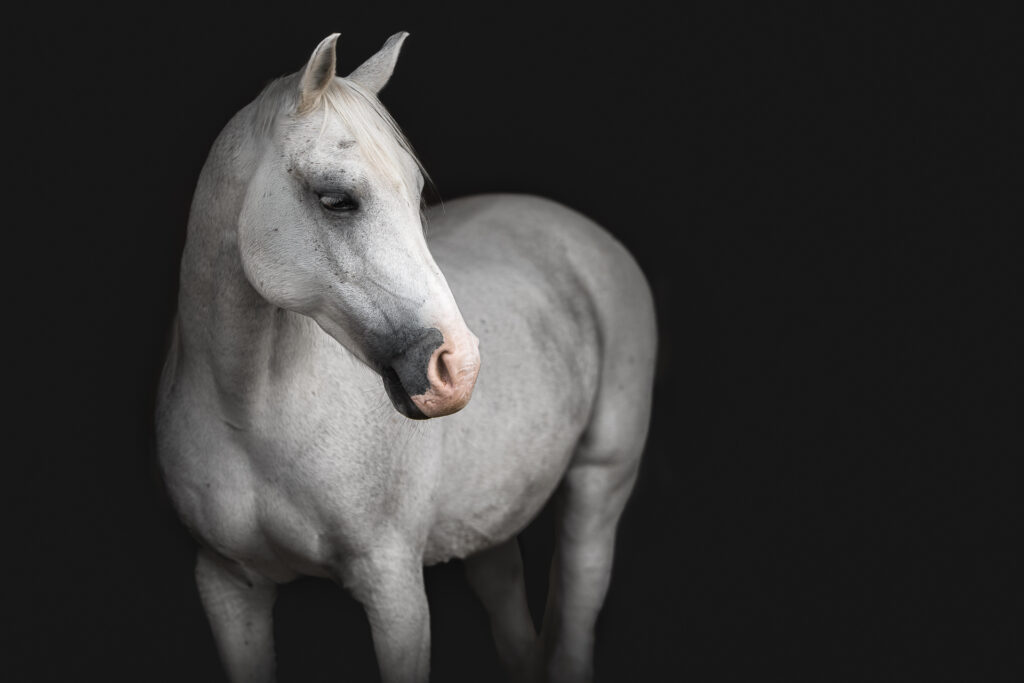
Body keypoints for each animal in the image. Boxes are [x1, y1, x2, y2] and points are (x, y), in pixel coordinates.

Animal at [155, 31, 656, 683]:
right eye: (336, 200)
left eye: (415, 194)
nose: (457, 369)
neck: (250, 418)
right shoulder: (226, 585)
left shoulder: (392, 588)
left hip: (599, 489)